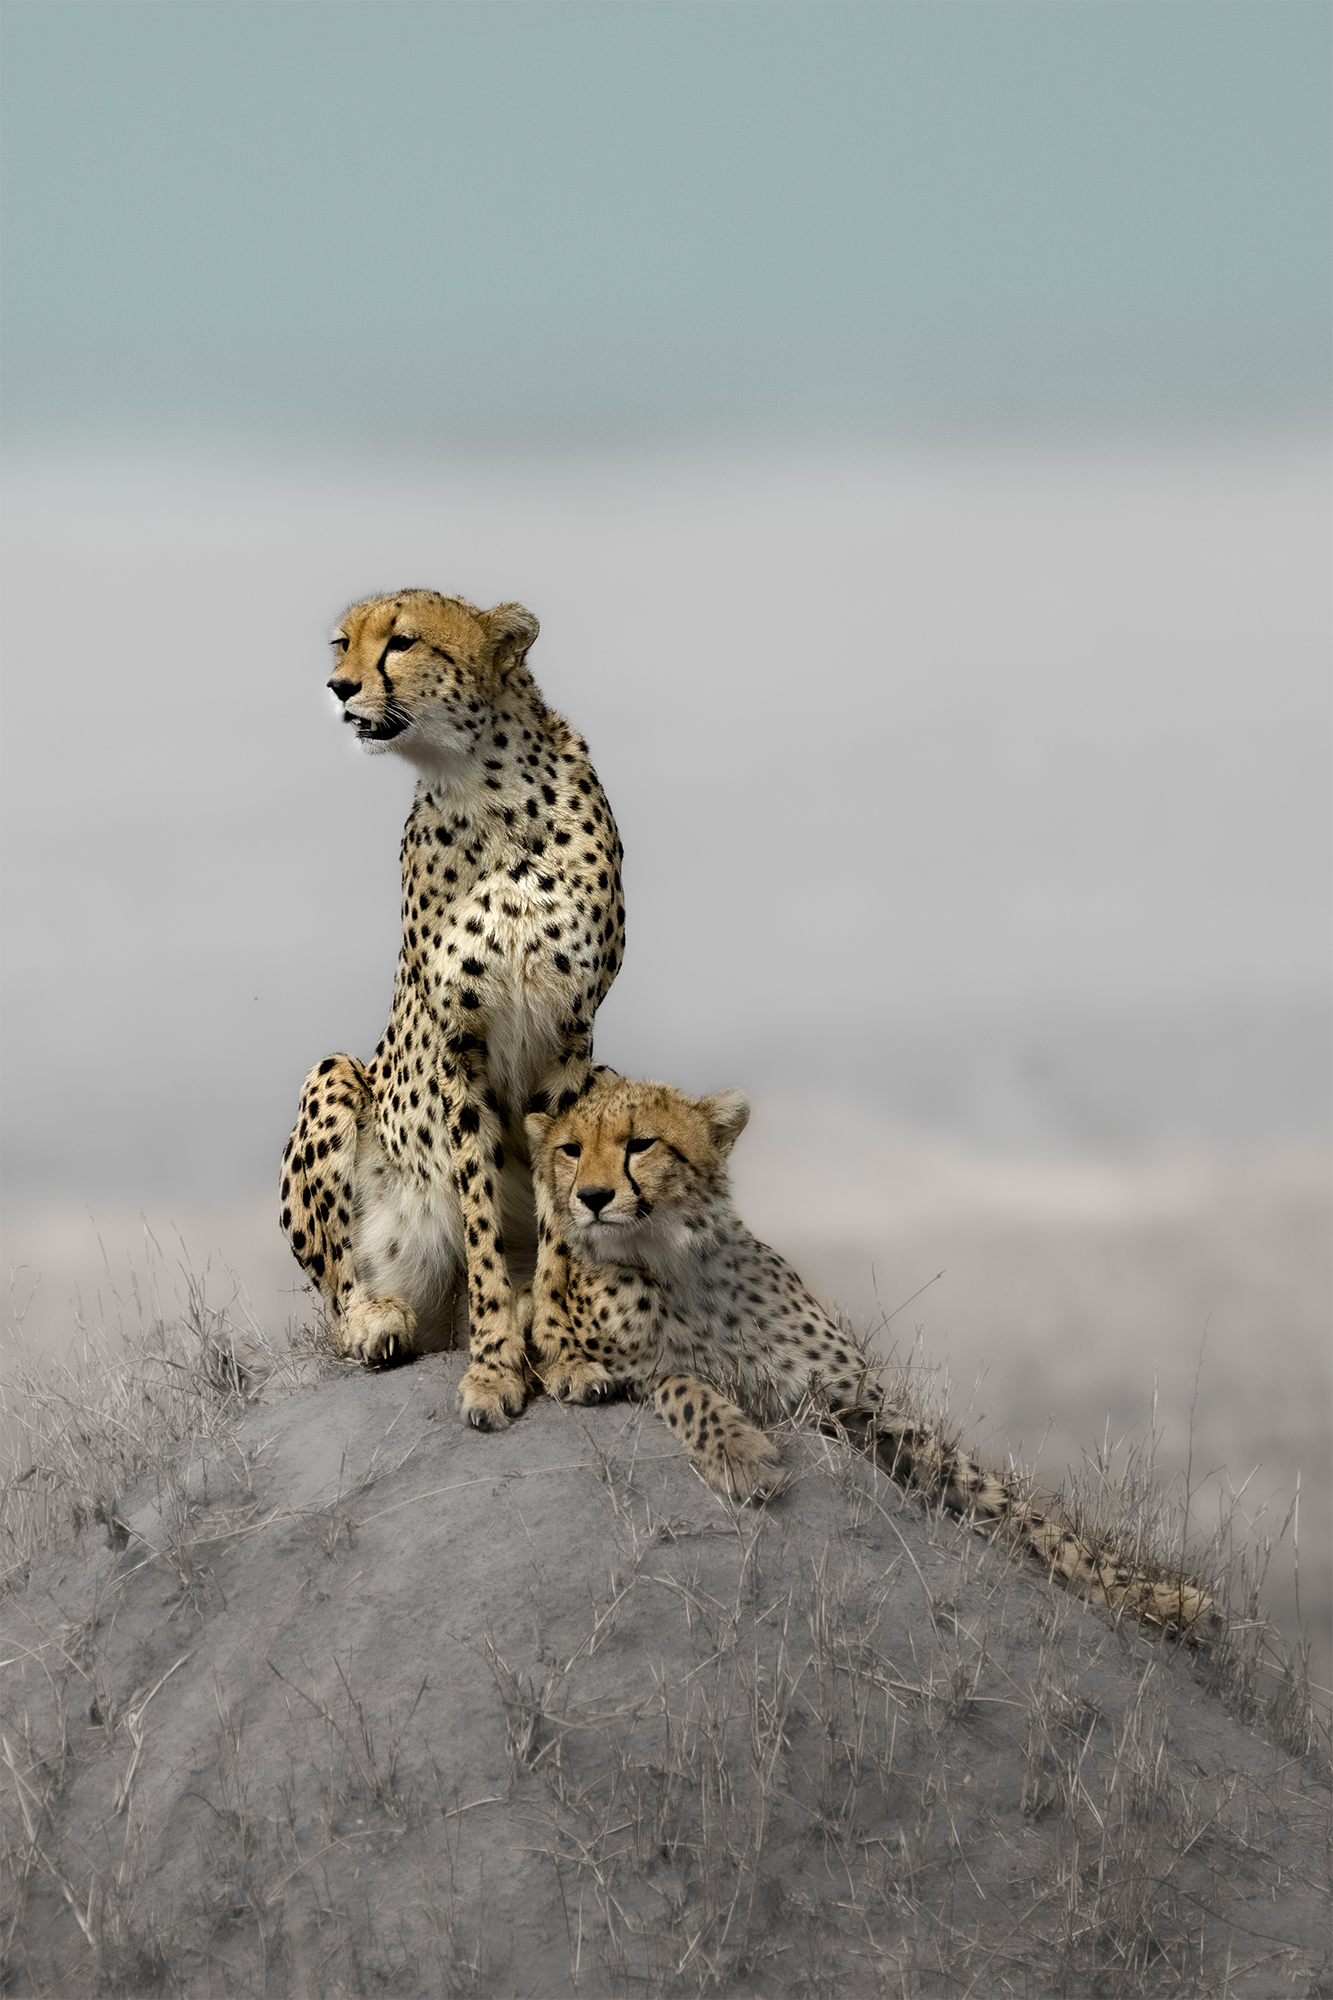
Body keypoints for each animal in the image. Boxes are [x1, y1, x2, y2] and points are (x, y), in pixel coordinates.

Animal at [280, 590, 624, 1430]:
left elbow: (557, 1210)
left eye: (401, 642)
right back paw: (377, 1320)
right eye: (340, 643)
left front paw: (563, 1353)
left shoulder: (571, 1037)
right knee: (342, 1288)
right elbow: (477, 1217)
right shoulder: (456, 1042)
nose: (338, 687)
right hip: (335, 1077)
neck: (483, 787)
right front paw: (495, 1367)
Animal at [522, 1071, 1215, 1637]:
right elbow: (684, 1382)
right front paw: (741, 1455)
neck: (675, 1259)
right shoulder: (645, 1373)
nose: (591, 1197)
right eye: (571, 1150)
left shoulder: (853, 1402)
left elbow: (1002, 1500)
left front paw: (1153, 1595)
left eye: (641, 1143)